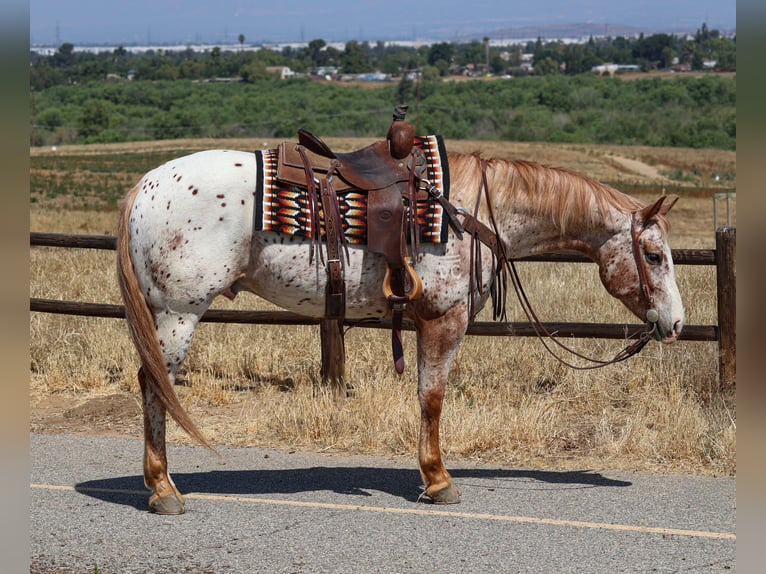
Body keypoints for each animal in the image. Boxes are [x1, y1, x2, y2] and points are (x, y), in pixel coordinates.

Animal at [117, 147, 684, 514]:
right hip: (177, 312)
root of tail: (144, 186)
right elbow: (432, 397)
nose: (676, 323)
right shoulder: (442, 318)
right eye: (654, 256)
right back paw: (163, 491)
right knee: (154, 387)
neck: (472, 213)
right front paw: (438, 480)